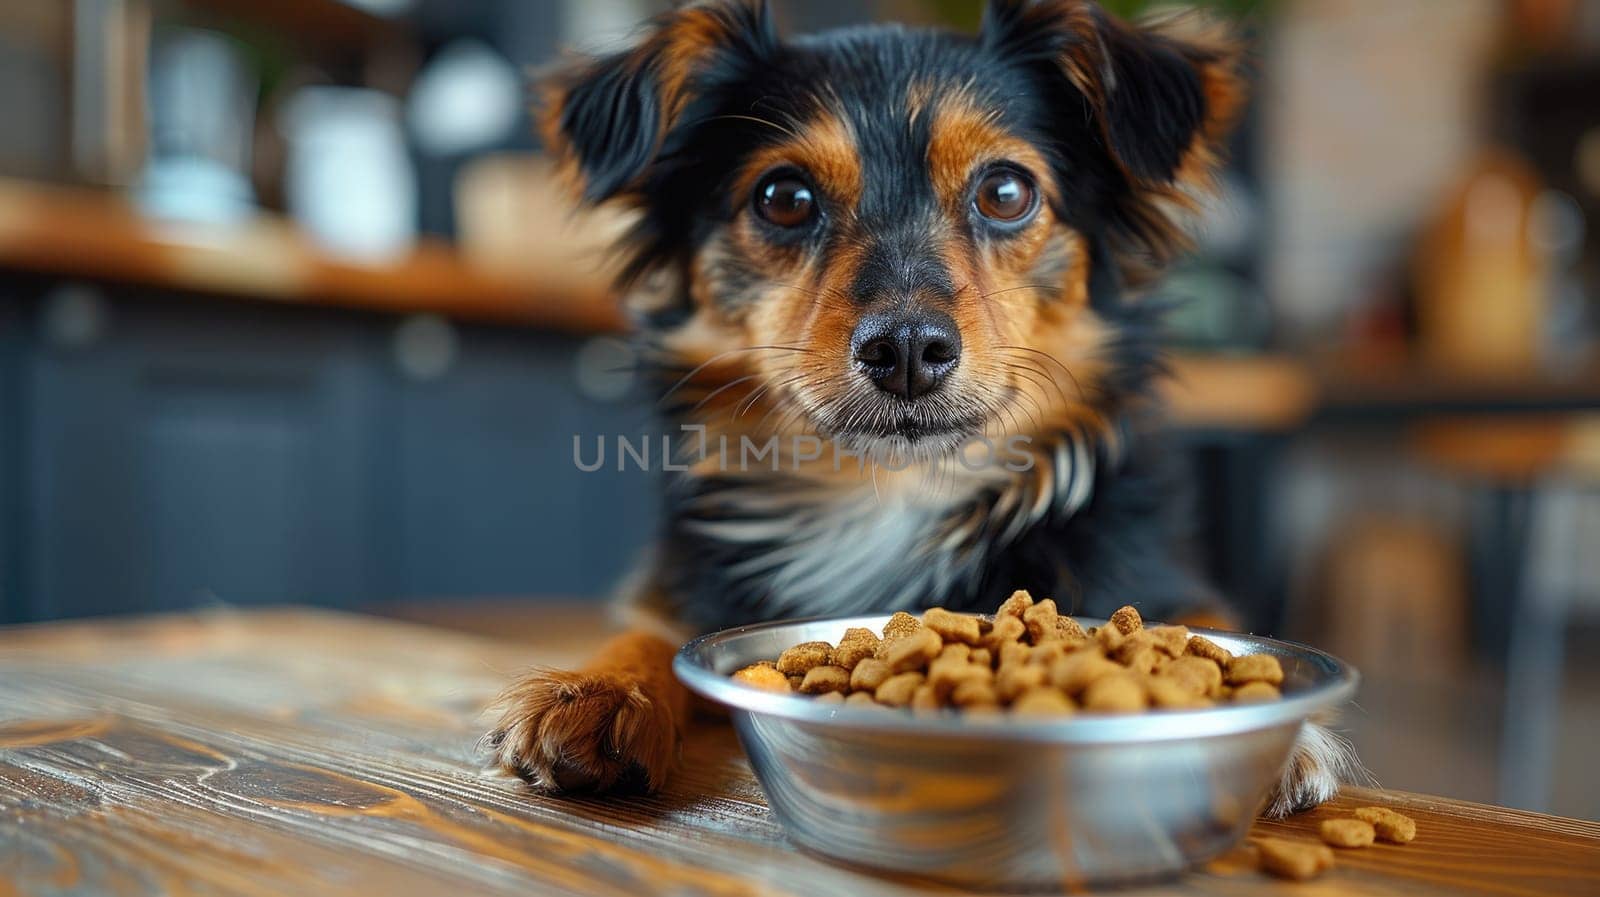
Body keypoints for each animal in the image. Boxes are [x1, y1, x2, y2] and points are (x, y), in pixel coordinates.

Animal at [480, 0, 1356, 818]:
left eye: (1006, 191)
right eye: (783, 197)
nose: (906, 347)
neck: (893, 494)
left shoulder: (1165, 582)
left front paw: (1284, 741)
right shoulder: (678, 590)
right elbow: (645, 634)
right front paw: (593, 690)